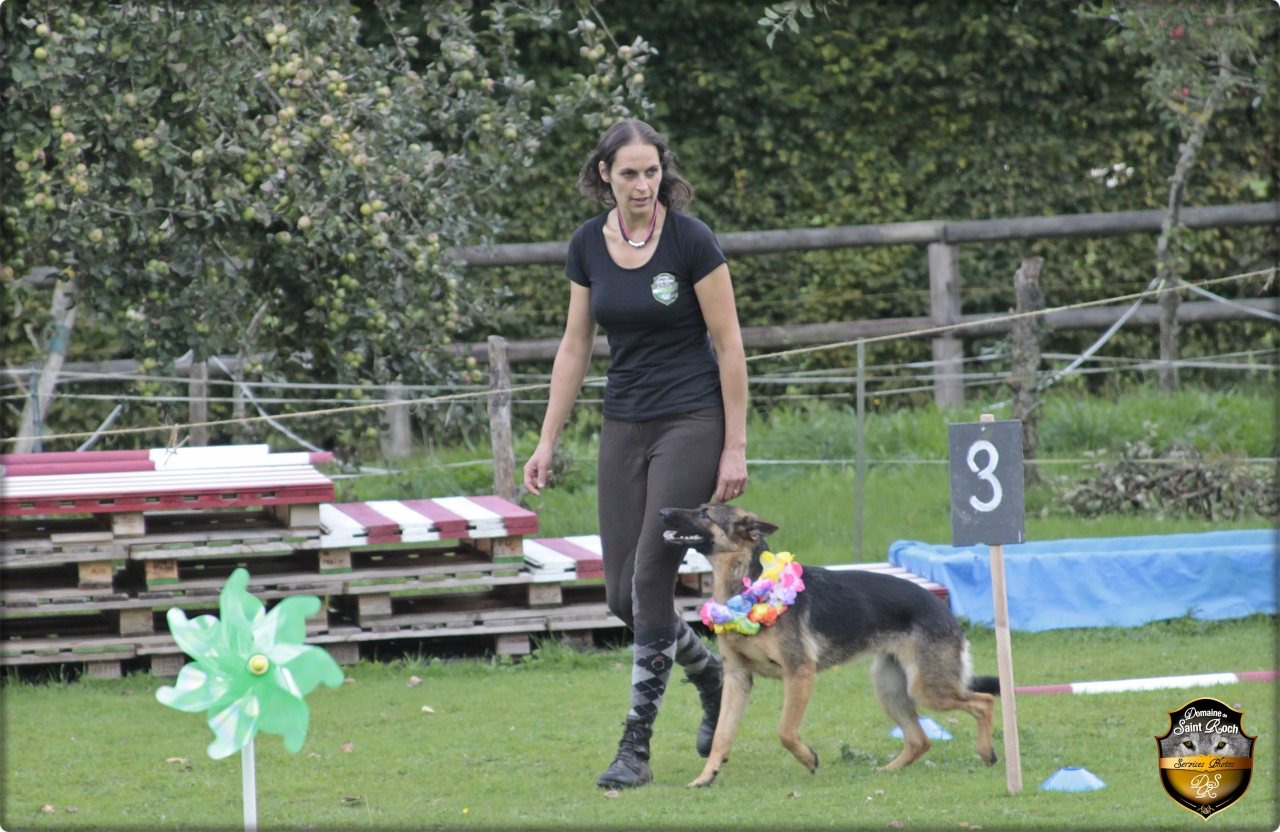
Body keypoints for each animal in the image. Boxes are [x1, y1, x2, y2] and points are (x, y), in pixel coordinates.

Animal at [661, 503, 1001, 788]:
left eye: (704, 513)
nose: (663, 512)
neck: (751, 582)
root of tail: (946, 612)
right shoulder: (737, 678)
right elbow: (721, 735)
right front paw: (706, 776)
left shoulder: (799, 673)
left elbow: (786, 731)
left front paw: (808, 759)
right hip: (890, 689)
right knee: (920, 740)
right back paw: (888, 770)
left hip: (927, 689)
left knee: (983, 701)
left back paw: (987, 753)